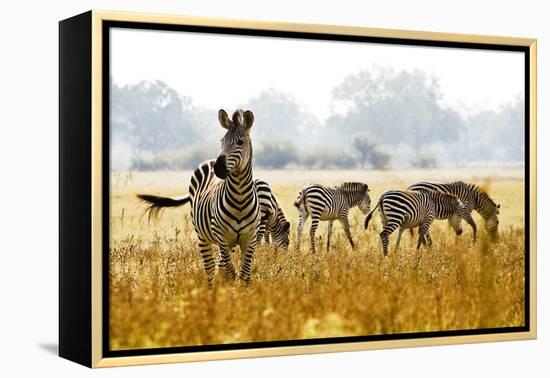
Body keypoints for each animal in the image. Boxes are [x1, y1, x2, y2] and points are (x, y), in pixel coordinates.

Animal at [137, 109, 260, 284]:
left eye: (240, 143)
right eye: (222, 141)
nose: (219, 168)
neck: (240, 197)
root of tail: (209, 161)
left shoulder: (250, 238)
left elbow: (245, 275)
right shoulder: (221, 235)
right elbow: (230, 272)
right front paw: (228, 291)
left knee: (219, 265)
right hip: (203, 235)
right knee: (210, 267)